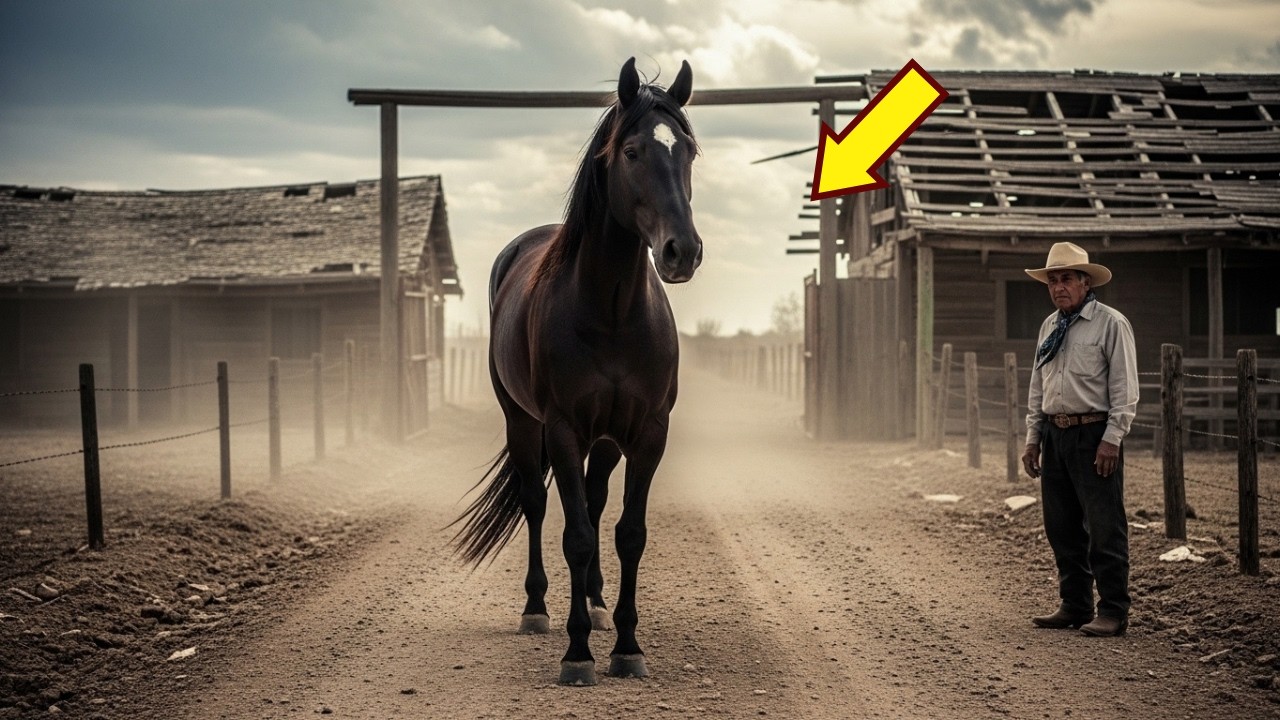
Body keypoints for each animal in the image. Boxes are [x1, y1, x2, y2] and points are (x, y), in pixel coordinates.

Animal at [449, 57, 701, 686]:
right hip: (523, 422)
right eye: (632, 151)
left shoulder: (648, 434)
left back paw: (596, 602)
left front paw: (627, 647)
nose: (682, 251)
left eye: (687, 149)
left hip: (605, 441)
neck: (610, 312)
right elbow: (577, 536)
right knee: (538, 507)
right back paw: (538, 609)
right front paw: (578, 654)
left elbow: (628, 534)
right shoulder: (562, 430)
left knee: (593, 495)